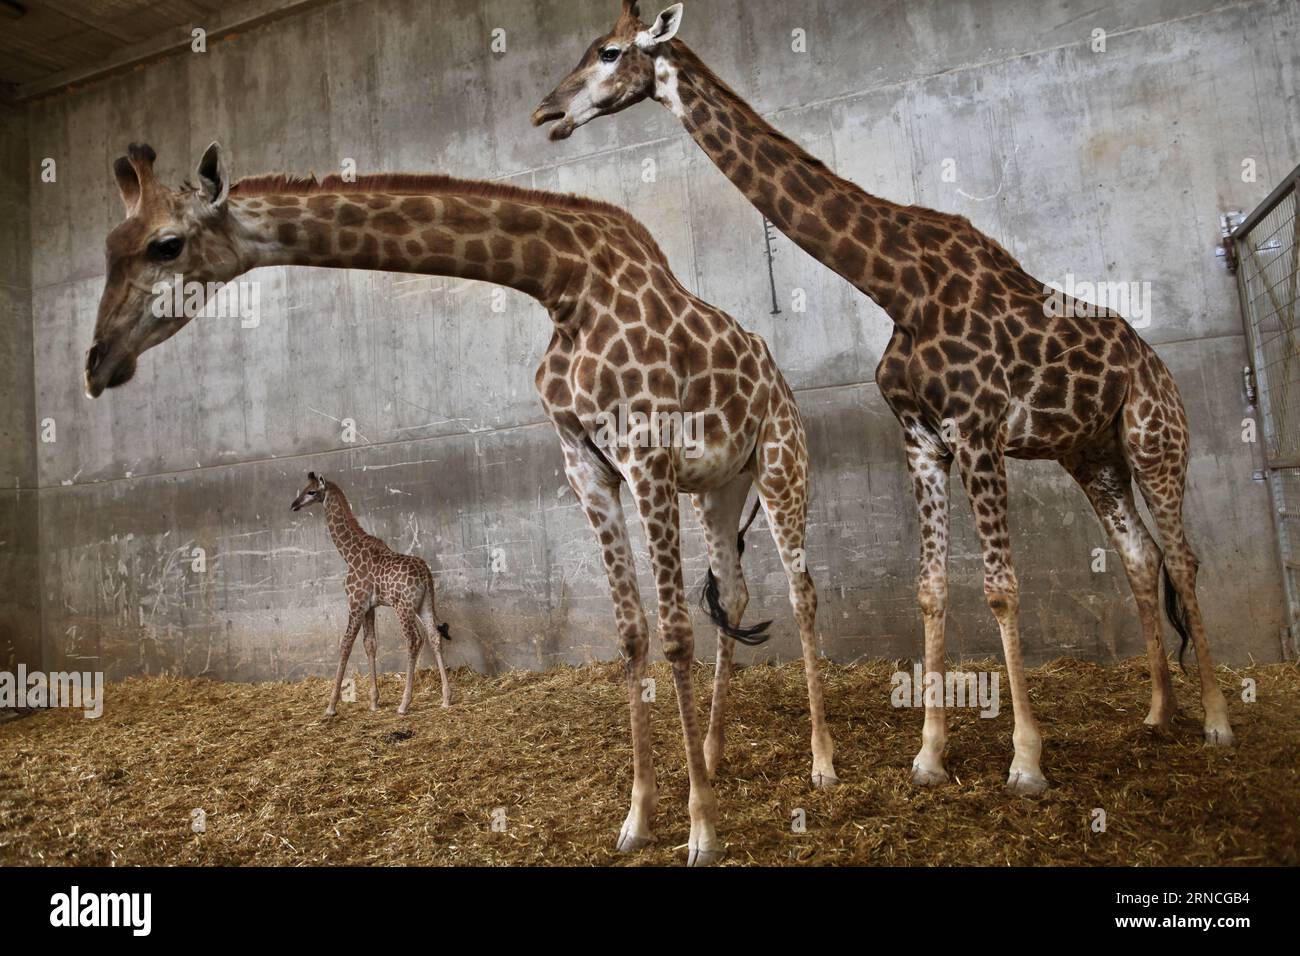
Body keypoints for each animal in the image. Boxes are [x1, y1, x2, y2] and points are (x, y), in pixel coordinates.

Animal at [290, 472, 452, 715]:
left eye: (311, 491)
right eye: (302, 489)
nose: (294, 505)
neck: (349, 554)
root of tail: (426, 575)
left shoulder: (355, 603)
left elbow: (345, 645)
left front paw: (331, 706)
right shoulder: (369, 606)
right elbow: (370, 644)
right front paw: (374, 702)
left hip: (403, 606)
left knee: (414, 640)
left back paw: (404, 704)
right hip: (425, 604)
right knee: (434, 636)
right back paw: (446, 699)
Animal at [534, 1, 1235, 792]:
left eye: (609, 51)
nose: (547, 111)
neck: (898, 285)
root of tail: (1155, 364)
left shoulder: (979, 429)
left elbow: (1000, 585)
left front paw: (1025, 760)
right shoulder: (923, 437)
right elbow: (930, 586)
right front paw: (928, 756)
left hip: (1154, 438)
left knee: (1182, 558)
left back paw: (1215, 722)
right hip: (1093, 455)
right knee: (1140, 556)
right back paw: (1157, 714)